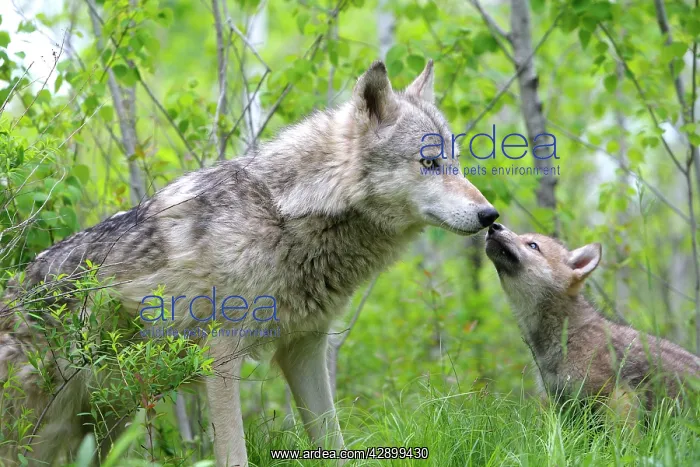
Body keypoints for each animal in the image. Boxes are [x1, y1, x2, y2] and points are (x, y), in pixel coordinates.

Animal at [0, 60, 498, 466]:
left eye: (456, 161)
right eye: (429, 163)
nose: (490, 215)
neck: (287, 213)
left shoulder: (304, 351)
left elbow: (334, 444)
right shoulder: (220, 358)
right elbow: (235, 454)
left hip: (104, 420)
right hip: (43, 429)